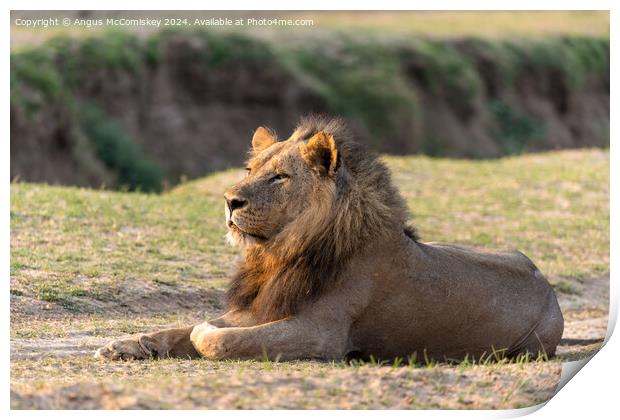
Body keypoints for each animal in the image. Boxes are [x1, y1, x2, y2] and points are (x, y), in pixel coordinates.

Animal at [94, 116, 564, 362]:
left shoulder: (322, 333)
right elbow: (176, 329)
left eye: (279, 177)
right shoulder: (263, 307)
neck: (278, 252)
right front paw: (125, 343)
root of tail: (546, 282)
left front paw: (204, 330)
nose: (230, 200)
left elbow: (216, 337)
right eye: (250, 170)